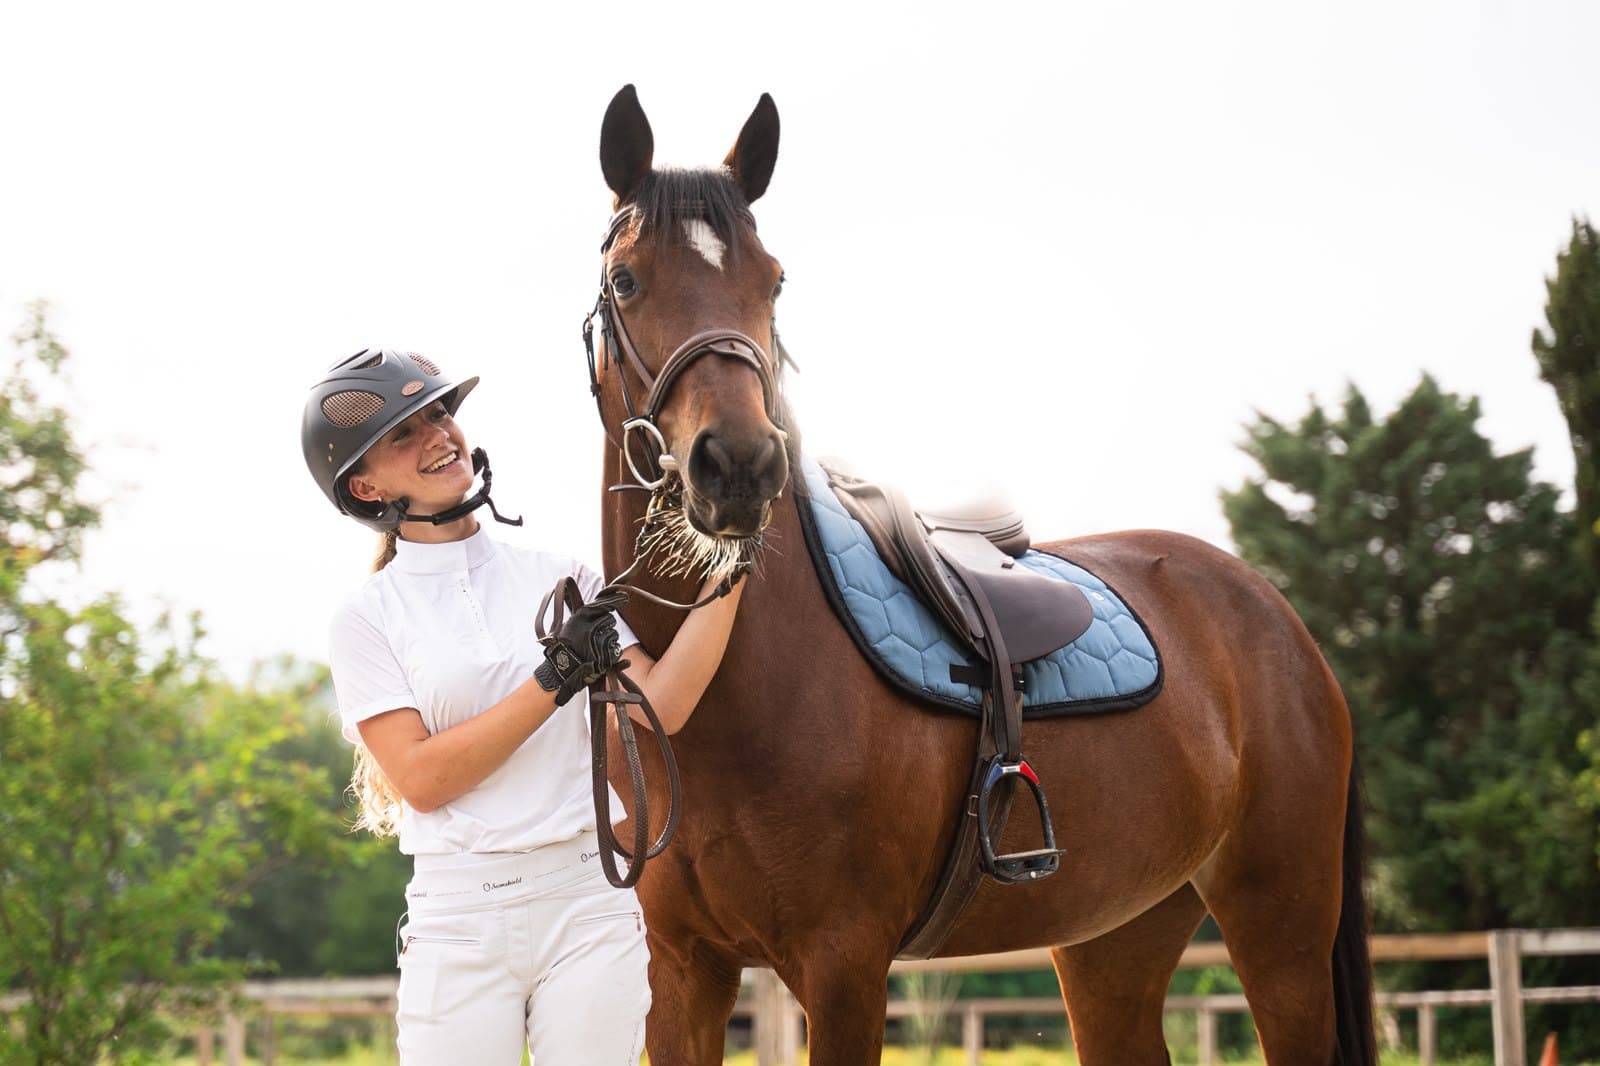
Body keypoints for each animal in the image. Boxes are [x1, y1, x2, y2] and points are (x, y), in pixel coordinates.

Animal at [584, 84, 1376, 1066]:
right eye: (625, 280)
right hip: (1117, 938)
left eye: (773, 281)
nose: (736, 465)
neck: (720, 691)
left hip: (1282, 933)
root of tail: (1281, 622)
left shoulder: (843, 968)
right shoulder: (681, 973)